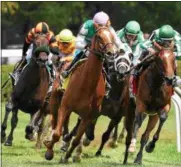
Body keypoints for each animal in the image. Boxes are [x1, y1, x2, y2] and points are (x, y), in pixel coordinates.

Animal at [43, 25, 115, 162]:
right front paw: (49, 152)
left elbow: (76, 140)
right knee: (54, 122)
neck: (86, 84)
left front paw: (66, 157)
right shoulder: (65, 106)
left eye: (112, 36)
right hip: (55, 101)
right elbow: (56, 133)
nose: (111, 53)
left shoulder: (88, 116)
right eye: (99, 36)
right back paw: (49, 141)